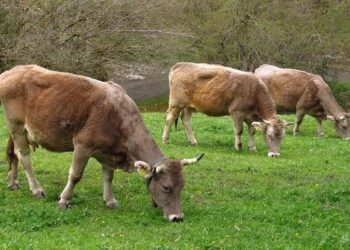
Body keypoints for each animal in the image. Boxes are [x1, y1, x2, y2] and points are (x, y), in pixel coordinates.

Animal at [0, 64, 205, 221]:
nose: (177, 217)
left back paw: (13, 182)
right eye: (166, 187)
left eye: (182, 186)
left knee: (14, 154)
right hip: (17, 126)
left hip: (18, 130)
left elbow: (108, 176)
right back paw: (36, 189)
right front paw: (64, 200)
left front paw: (110, 200)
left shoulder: (108, 152)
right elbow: (75, 175)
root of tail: (13, 71)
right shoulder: (83, 144)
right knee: (24, 156)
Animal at [161, 62, 290, 156]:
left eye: (283, 136)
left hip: (189, 106)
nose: (275, 155)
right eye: (269, 135)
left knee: (186, 120)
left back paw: (193, 141)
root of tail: (181, 64)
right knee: (170, 118)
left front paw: (252, 147)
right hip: (176, 103)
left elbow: (252, 131)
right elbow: (239, 131)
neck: (254, 91)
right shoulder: (236, 112)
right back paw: (165, 140)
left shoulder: (251, 116)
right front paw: (238, 147)